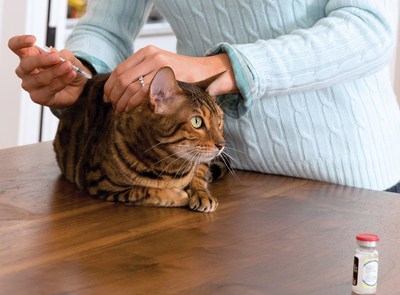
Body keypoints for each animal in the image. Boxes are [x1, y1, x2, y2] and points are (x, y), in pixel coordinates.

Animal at [53, 67, 227, 213]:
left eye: (219, 121)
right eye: (196, 122)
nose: (222, 145)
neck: (171, 167)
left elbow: (198, 174)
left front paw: (201, 194)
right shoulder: (99, 182)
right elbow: (144, 191)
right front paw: (178, 195)